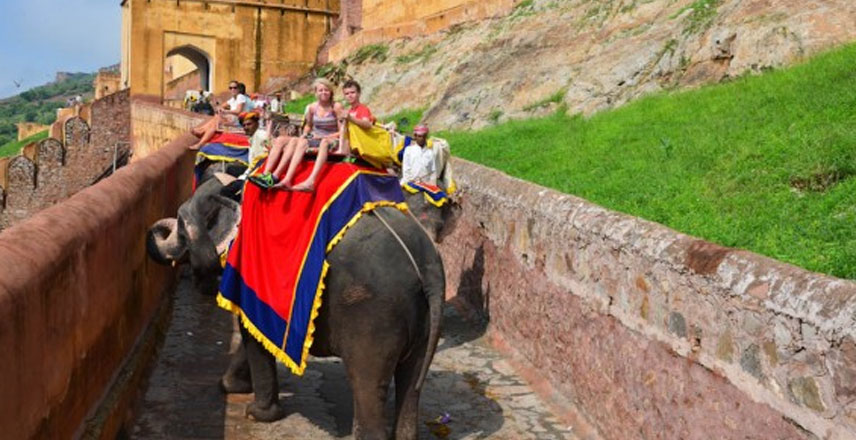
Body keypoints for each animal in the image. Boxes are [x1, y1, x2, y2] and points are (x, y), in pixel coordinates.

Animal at [149, 163, 454, 440]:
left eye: (181, 226)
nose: (159, 229)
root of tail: (428, 270)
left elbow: (250, 332)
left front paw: (253, 411)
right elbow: (255, 333)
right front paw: (231, 387)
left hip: (374, 315)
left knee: (367, 381)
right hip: (425, 319)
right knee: (412, 383)